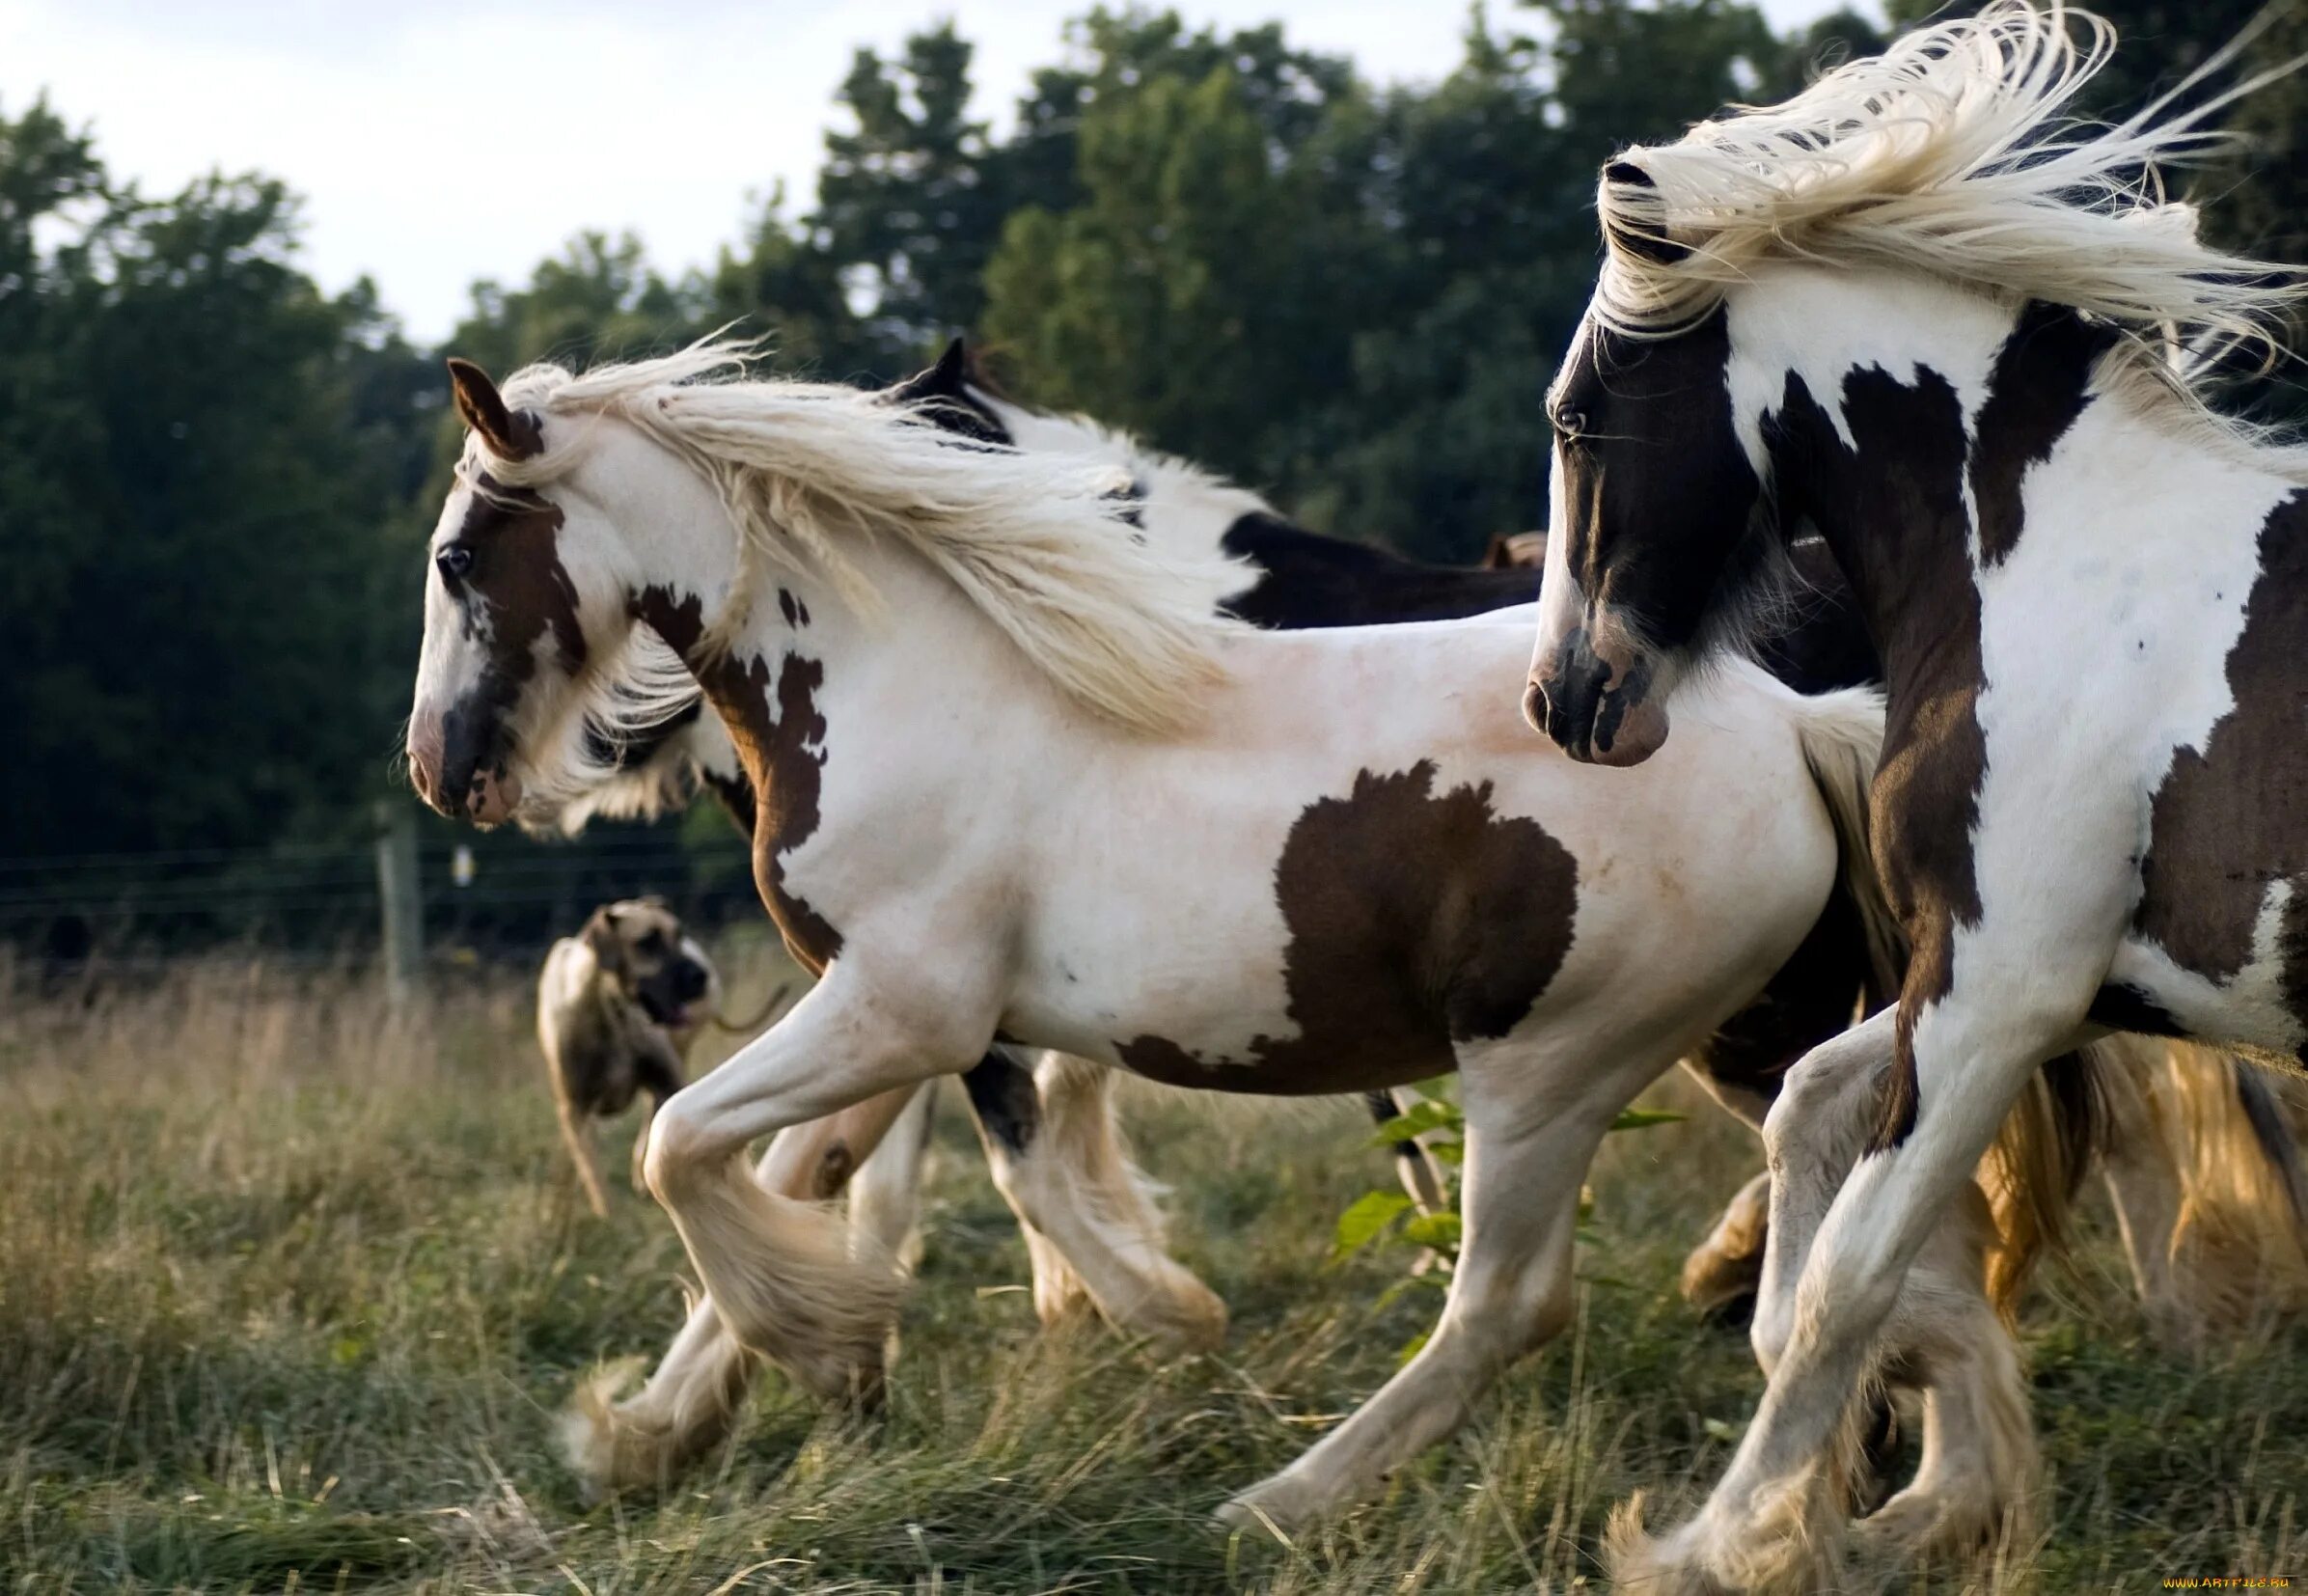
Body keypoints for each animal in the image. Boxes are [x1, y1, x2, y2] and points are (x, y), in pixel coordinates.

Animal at [539, 891, 720, 1219]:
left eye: (678, 934)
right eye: (647, 942)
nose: (702, 975)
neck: (611, 1011)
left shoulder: (667, 1082)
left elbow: (654, 1131)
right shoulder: (575, 1108)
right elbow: (592, 1169)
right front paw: (606, 1214)